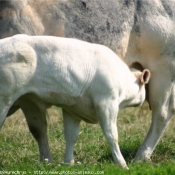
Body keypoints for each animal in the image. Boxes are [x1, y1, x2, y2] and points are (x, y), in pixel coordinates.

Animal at [0, 34, 150, 168]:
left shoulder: (72, 108)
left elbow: (71, 136)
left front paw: (68, 163)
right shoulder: (107, 103)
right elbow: (112, 135)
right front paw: (122, 164)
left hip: (27, 101)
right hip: (5, 100)